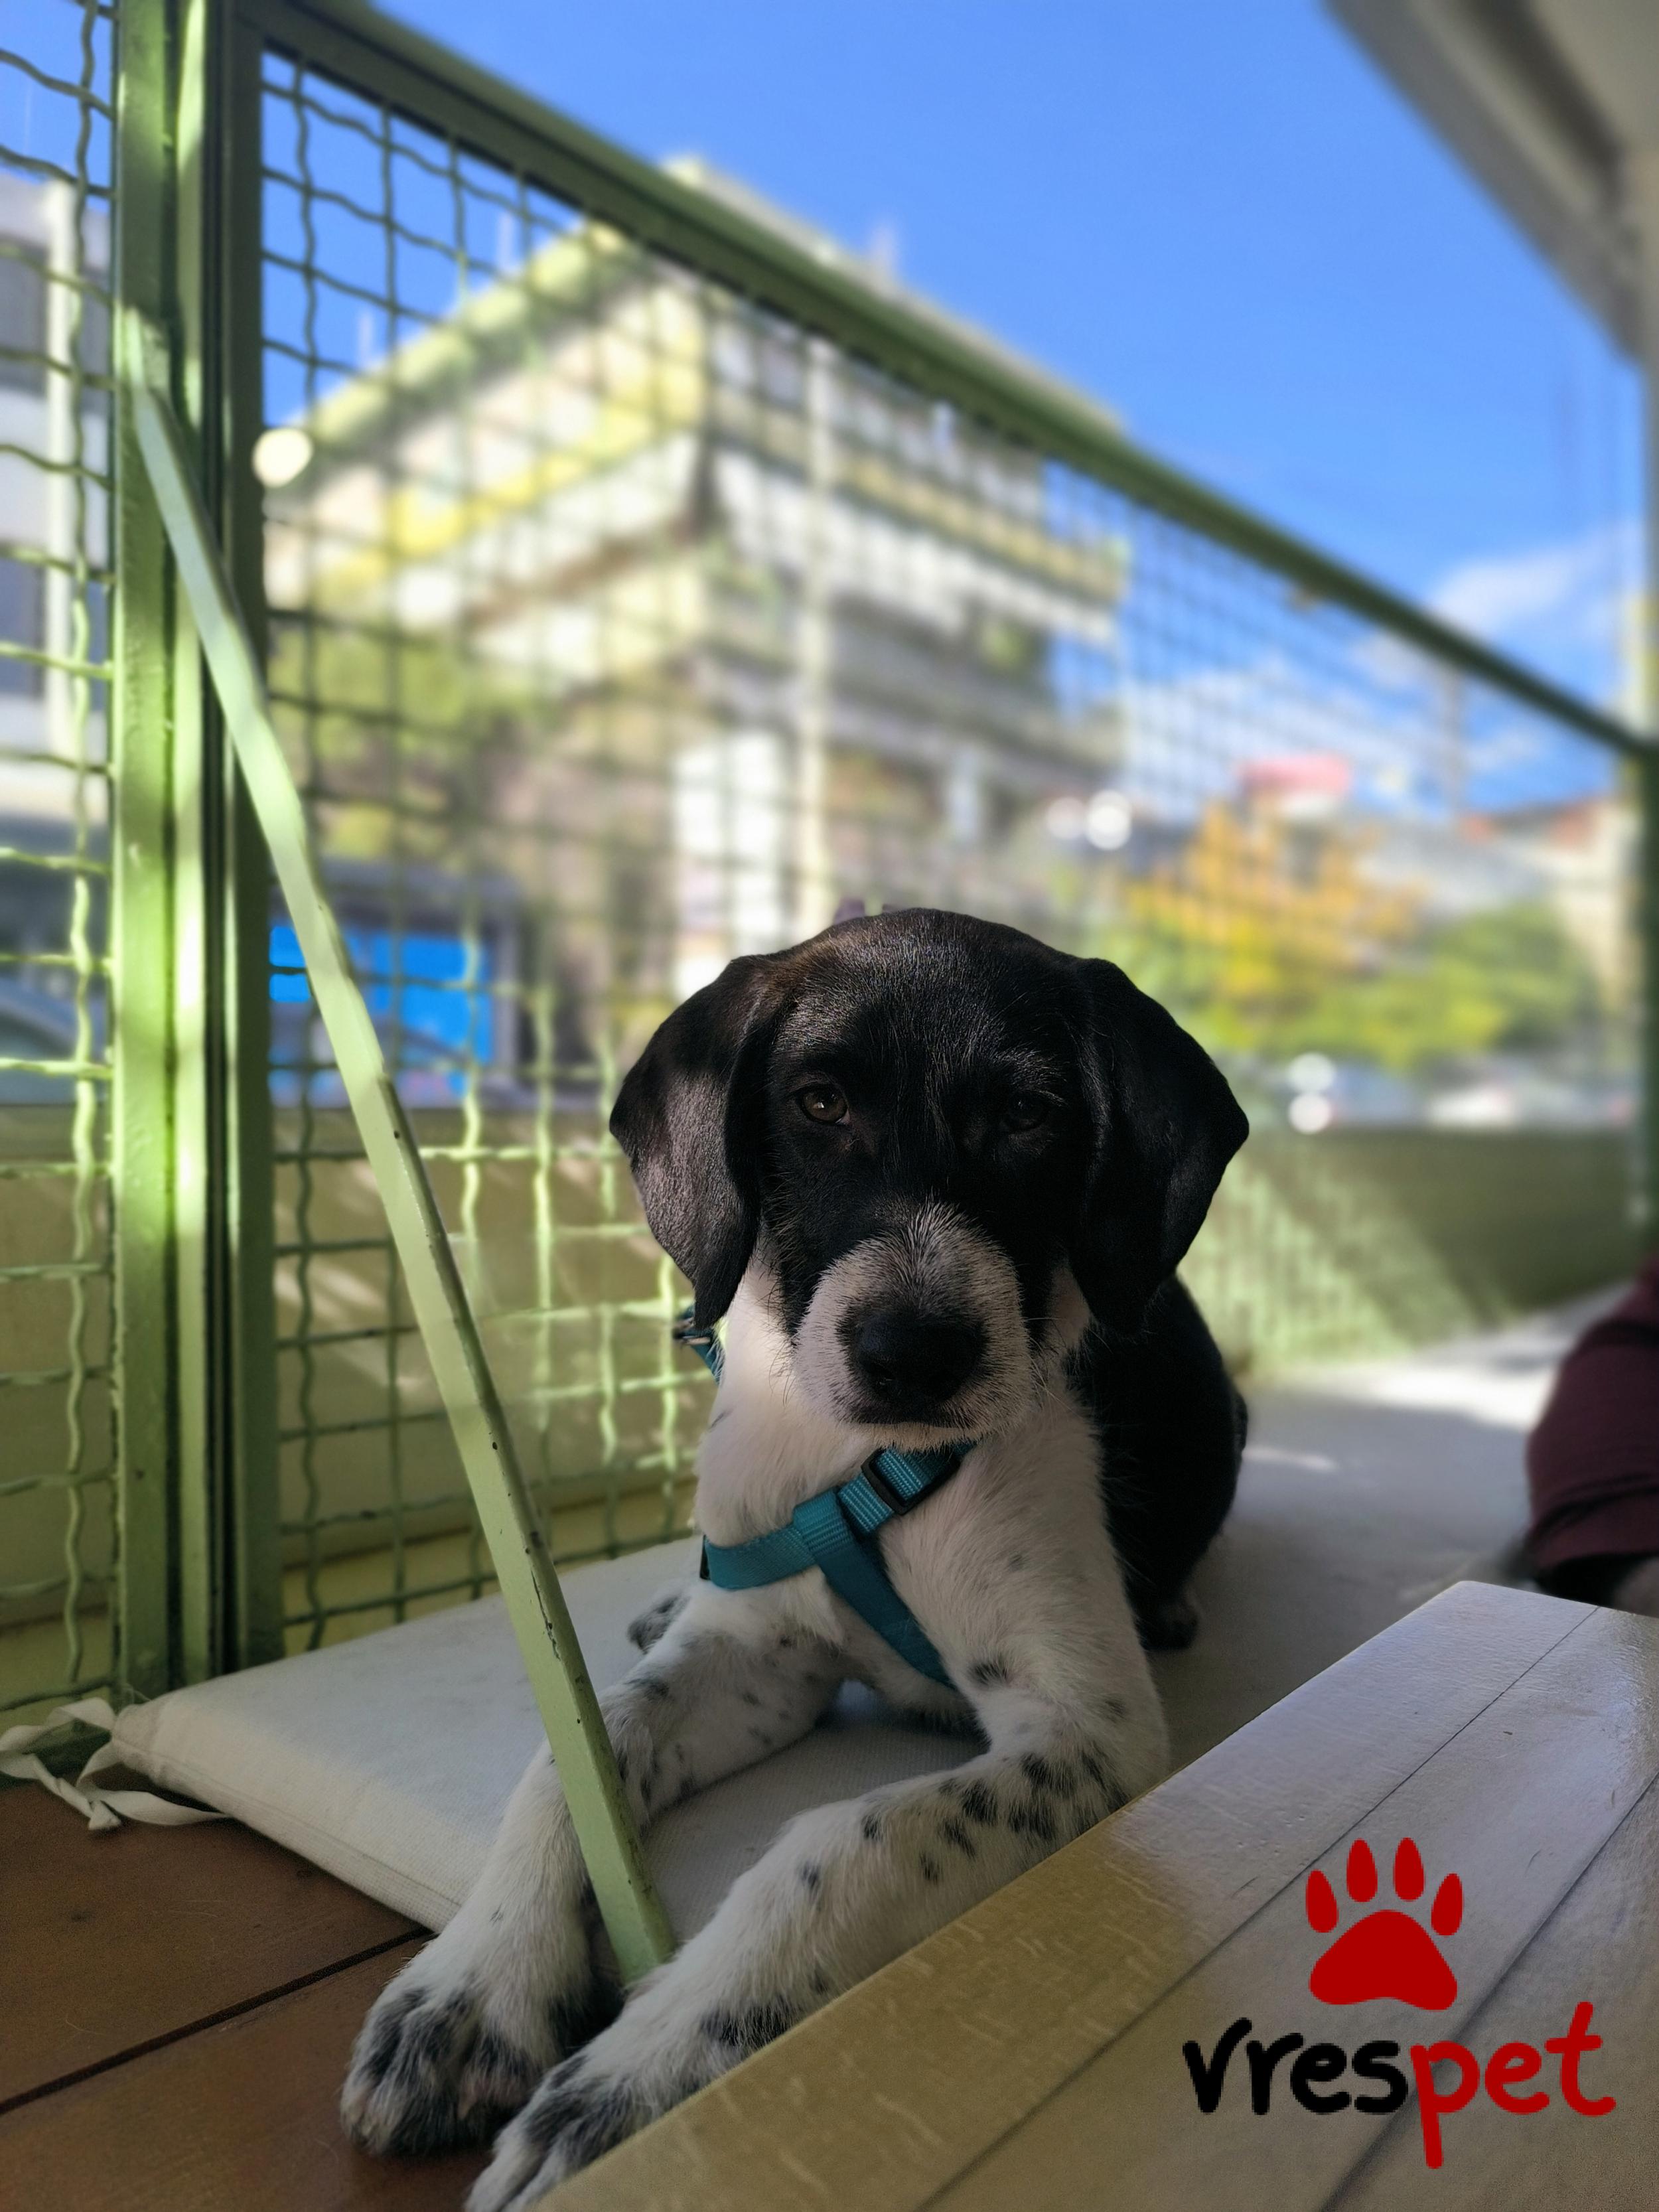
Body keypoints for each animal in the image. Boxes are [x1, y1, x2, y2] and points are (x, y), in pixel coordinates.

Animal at [341, 907, 1248, 2207]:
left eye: (1032, 1114)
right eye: (819, 1103)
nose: (912, 1352)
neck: (860, 1458)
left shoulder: (1087, 1730)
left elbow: (838, 1837)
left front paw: (649, 2079)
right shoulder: (763, 1662)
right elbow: (575, 1756)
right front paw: (472, 1985)